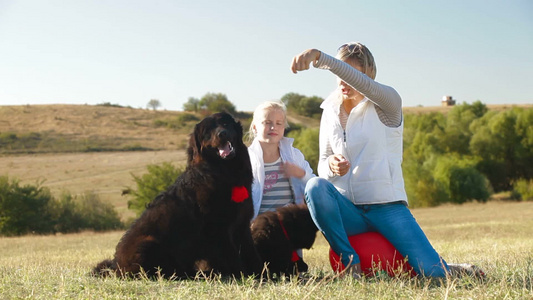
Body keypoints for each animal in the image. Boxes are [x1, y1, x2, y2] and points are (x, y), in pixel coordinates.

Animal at [95, 112, 264, 278]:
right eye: (208, 132)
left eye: (225, 123)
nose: (222, 133)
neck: (225, 171)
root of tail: (114, 265)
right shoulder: (218, 229)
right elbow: (232, 257)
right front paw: (243, 275)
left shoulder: (242, 225)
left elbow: (252, 254)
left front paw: (262, 275)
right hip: (148, 243)